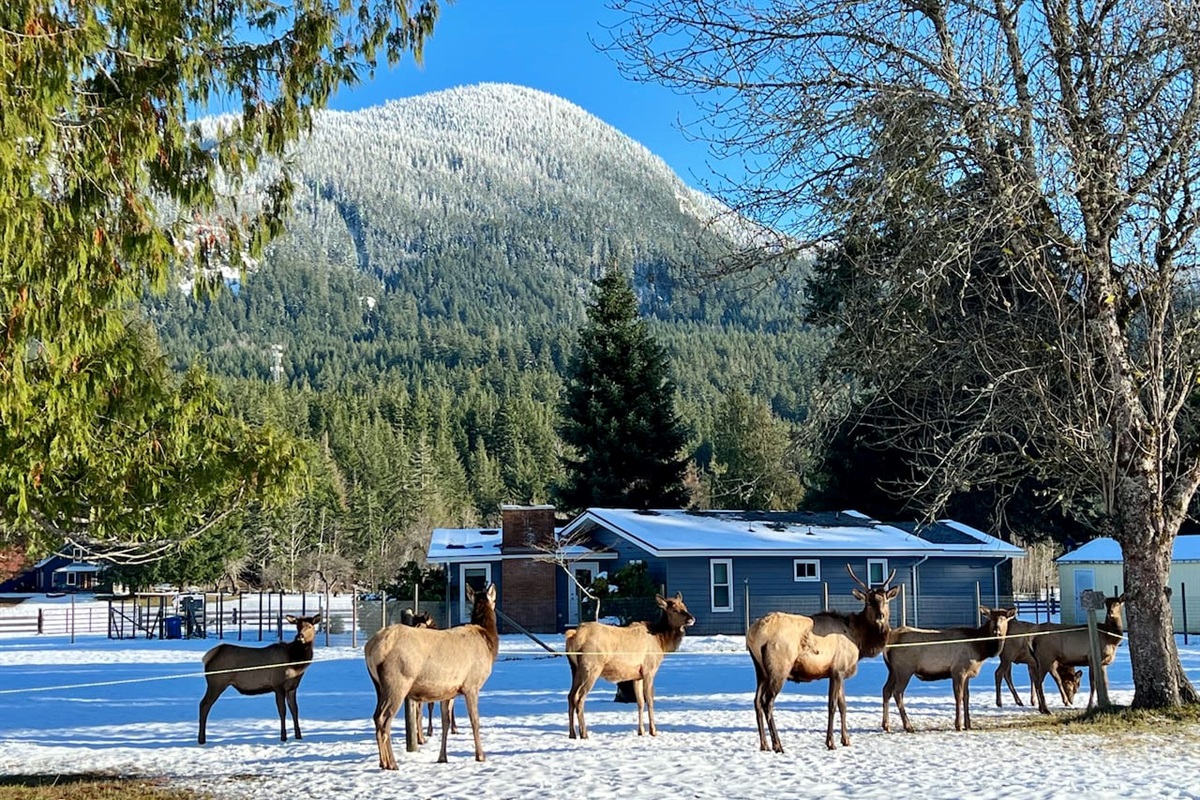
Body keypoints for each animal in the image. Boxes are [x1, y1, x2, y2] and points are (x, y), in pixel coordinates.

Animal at [197, 613, 321, 745]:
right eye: (297, 626)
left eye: (310, 626)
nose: (299, 636)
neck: (295, 663)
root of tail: (208, 657)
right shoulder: (278, 685)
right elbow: (282, 711)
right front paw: (283, 737)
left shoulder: (292, 688)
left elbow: (295, 710)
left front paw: (299, 736)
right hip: (216, 683)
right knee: (204, 704)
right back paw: (201, 739)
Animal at [365, 583, 498, 765]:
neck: (488, 641)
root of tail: (370, 648)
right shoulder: (472, 684)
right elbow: (475, 720)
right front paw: (481, 756)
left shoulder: (449, 691)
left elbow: (445, 722)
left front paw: (442, 757)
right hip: (397, 681)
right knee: (383, 719)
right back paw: (391, 763)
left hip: (378, 685)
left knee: (376, 717)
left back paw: (384, 762)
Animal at [565, 592, 695, 739]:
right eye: (674, 610)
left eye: (684, 606)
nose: (691, 619)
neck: (661, 643)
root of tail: (574, 636)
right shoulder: (649, 670)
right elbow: (650, 699)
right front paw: (653, 731)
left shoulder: (636, 676)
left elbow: (640, 702)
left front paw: (641, 731)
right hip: (591, 668)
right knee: (580, 698)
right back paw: (584, 733)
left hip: (575, 669)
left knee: (570, 696)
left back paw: (572, 734)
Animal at [747, 565, 899, 752]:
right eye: (869, 601)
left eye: (885, 600)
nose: (881, 616)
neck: (859, 641)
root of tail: (753, 633)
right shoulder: (837, 670)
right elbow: (832, 705)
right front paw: (831, 742)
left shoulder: (839, 673)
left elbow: (843, 705)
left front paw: (846, 739)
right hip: (779, 668)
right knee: (767, 702)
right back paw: (778, 745)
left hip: (760, 669)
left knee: (756, 701)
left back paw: (764, 744)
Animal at [882, 606, 1016, 733]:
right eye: (991, 618)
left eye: (1004, 618)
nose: (997, 630)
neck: (981, 650)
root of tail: (888, 642)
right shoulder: (959, 671)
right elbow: (958, 696)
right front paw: (958, 725)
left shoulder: (967, 674)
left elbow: (966, 697)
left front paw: (968, 725)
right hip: (904, 669)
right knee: (897, 692)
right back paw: (908, 726)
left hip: (892, 670)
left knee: (886, 690)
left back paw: (886, 726)